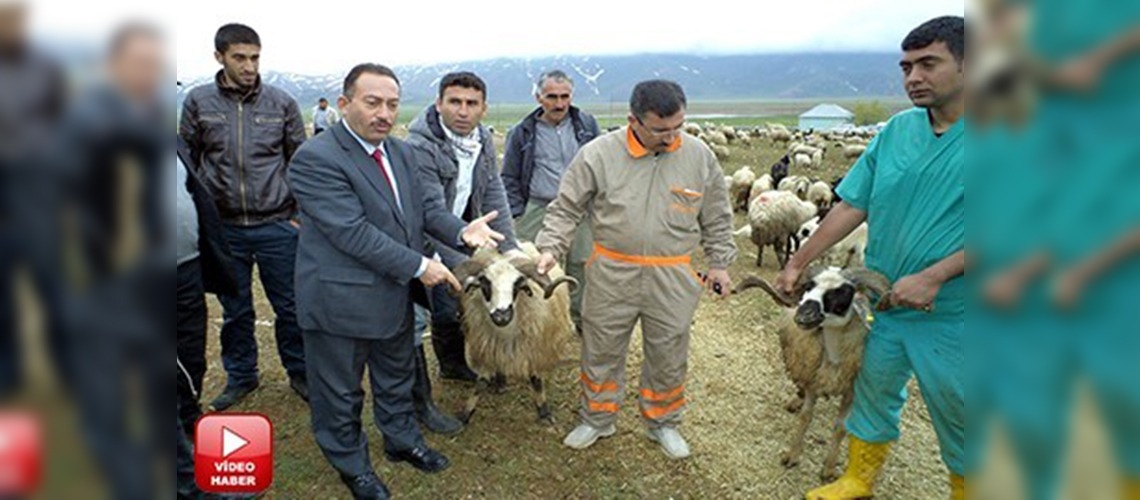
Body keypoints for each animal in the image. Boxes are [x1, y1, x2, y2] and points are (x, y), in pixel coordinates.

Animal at [734, 267, 893, 482]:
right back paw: (796, 400)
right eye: (809, 286)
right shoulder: (813, 381)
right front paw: (792, 456)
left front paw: (829, 469)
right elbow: (805, 417)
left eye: (843, 292)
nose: (803, 314)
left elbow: (840, 427)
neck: (833, 356)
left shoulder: (850, 391)